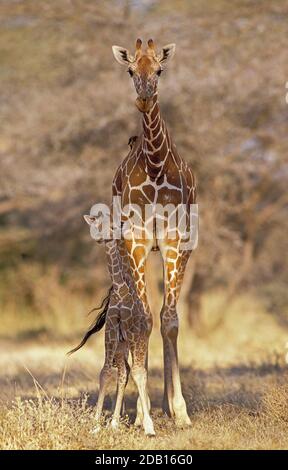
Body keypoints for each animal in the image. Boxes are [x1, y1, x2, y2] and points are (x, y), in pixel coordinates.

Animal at [69, 213, 155, 436]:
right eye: (97, 224)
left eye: (113, 225)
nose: (101, 238)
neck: (120, 290)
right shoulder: (111, 330)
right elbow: (106, 371)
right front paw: (95, 424)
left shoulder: (131, 331)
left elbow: (139, 372)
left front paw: (149, 427)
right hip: (121, 345)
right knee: (124, 371)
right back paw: (115, 422)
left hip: (139, 339)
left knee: (139, 371)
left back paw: (143, 422)